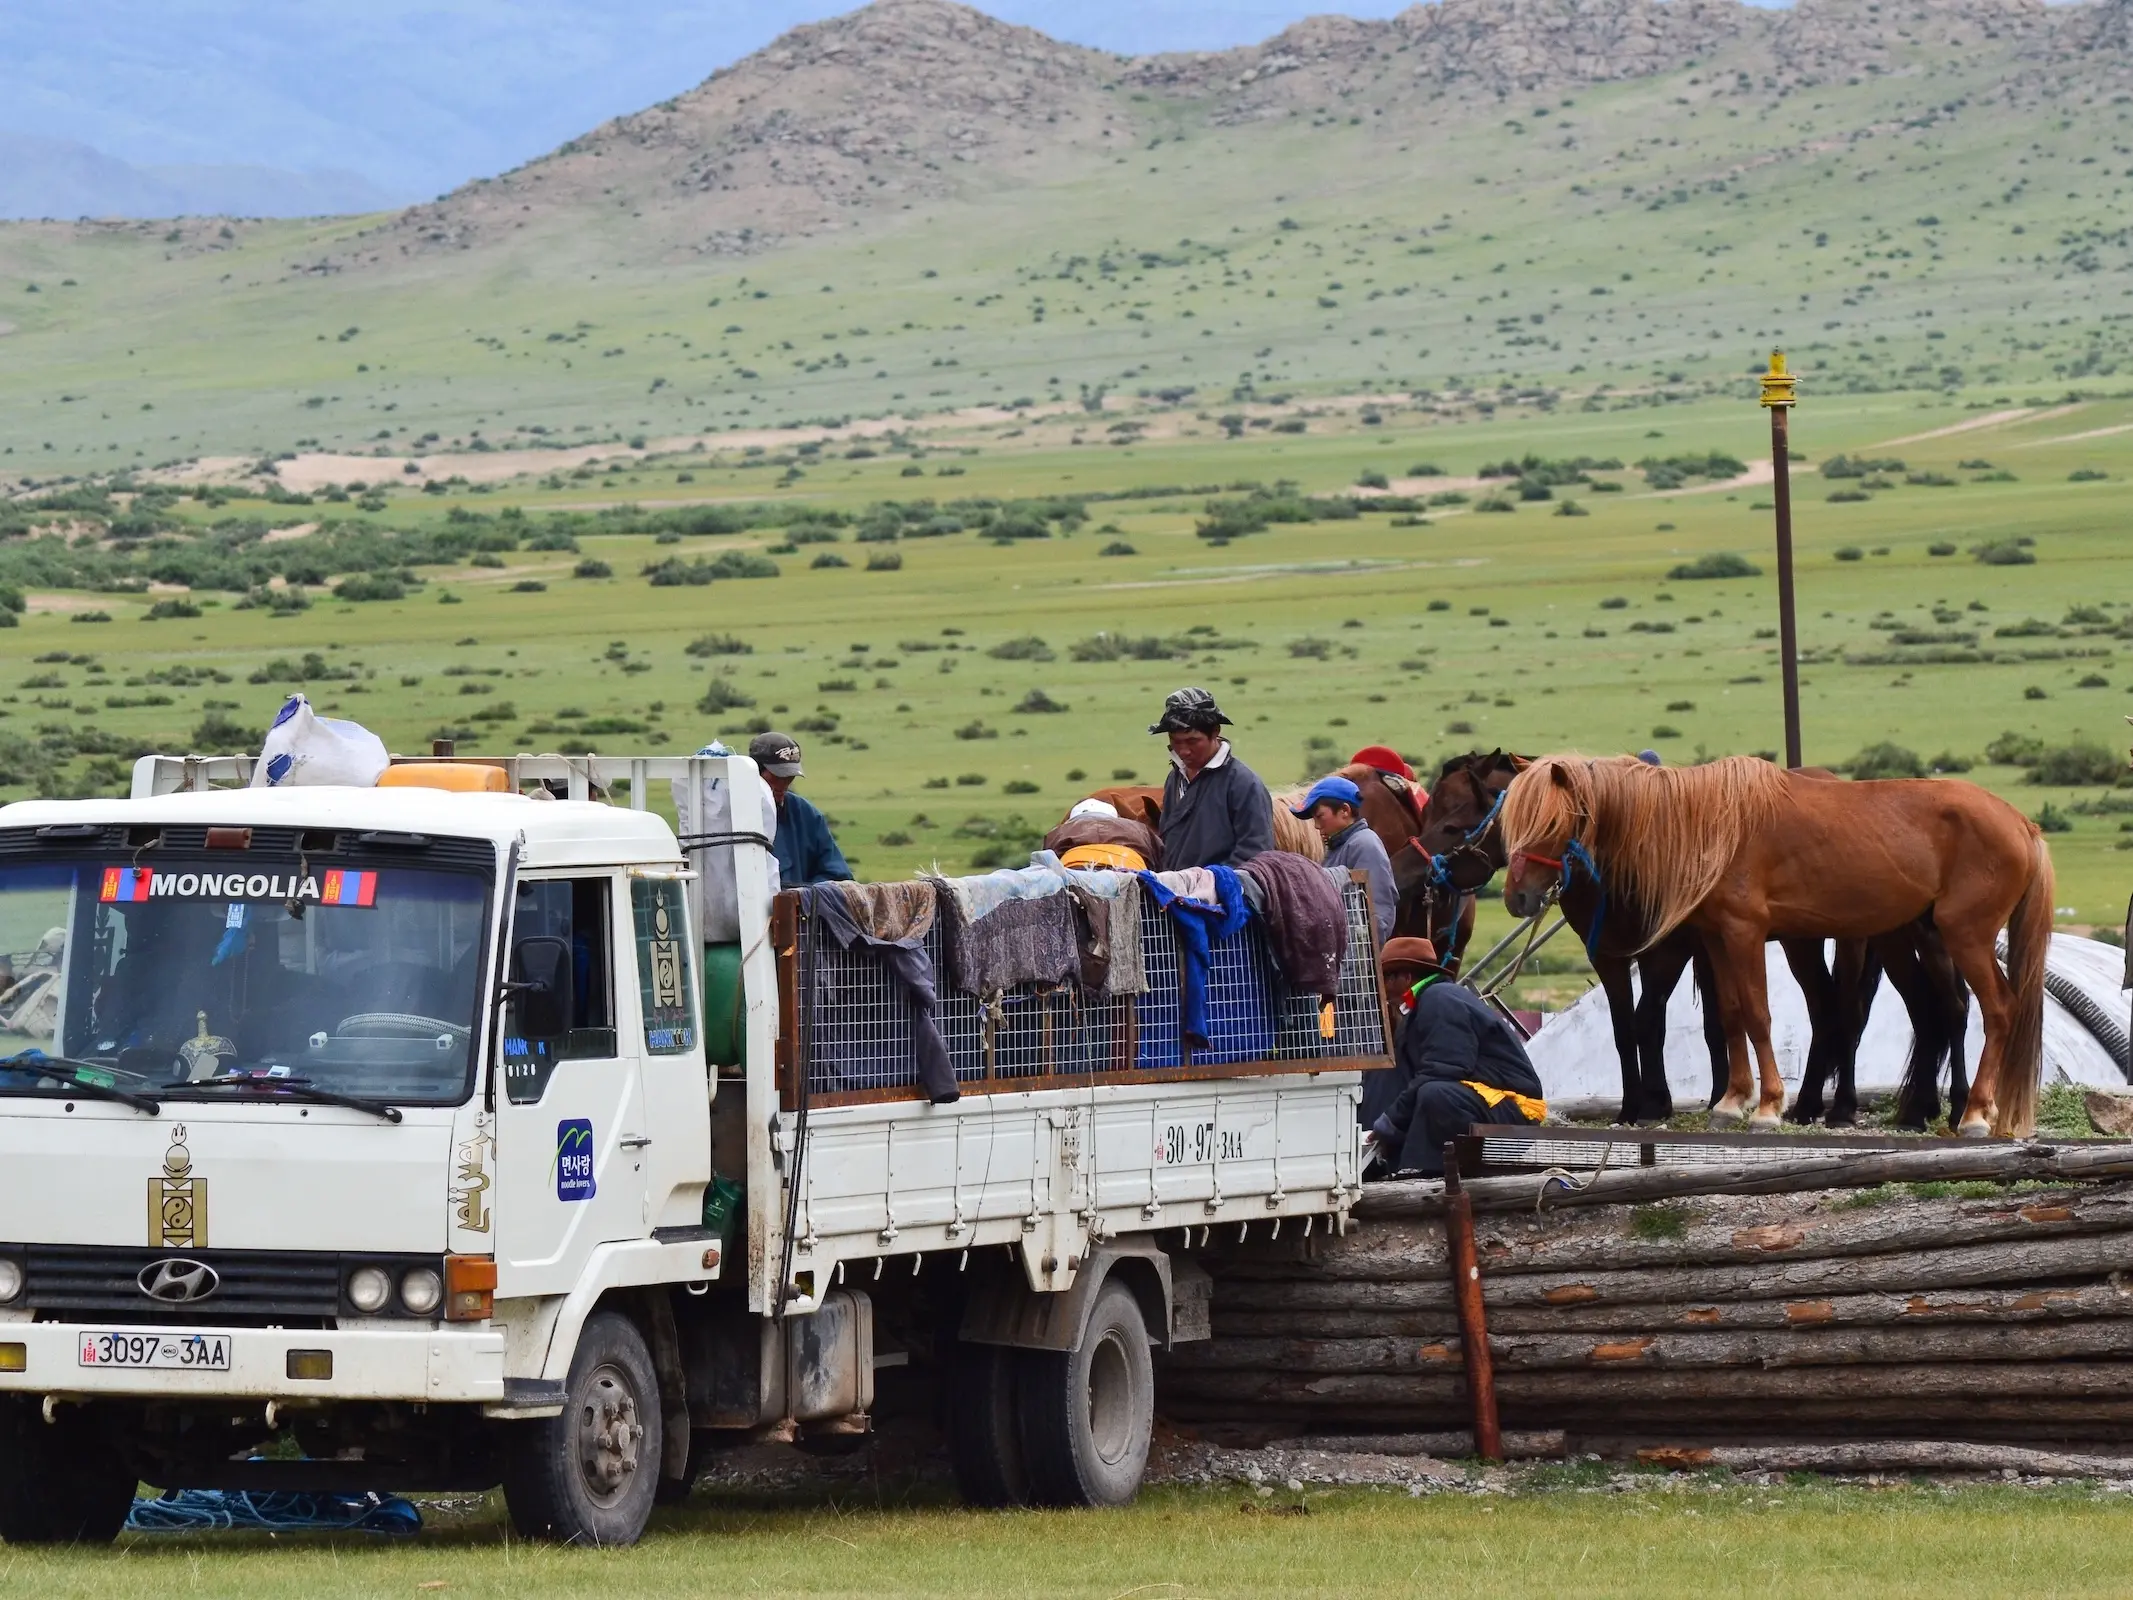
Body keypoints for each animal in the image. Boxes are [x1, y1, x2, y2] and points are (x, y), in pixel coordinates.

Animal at [1493, 755, 2056, 1143]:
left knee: (1996, 1010)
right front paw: (1731, 1101)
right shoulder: (1716, 939)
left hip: (1963, 936)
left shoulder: (1742, 933)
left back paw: (1975, 1113)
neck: (1704, 824)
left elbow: (1758, 1015)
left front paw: (1767, 1107)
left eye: (1550, 823)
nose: (1516, 899)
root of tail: (2021, 824)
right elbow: (1732, 1016)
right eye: (1508, 824)